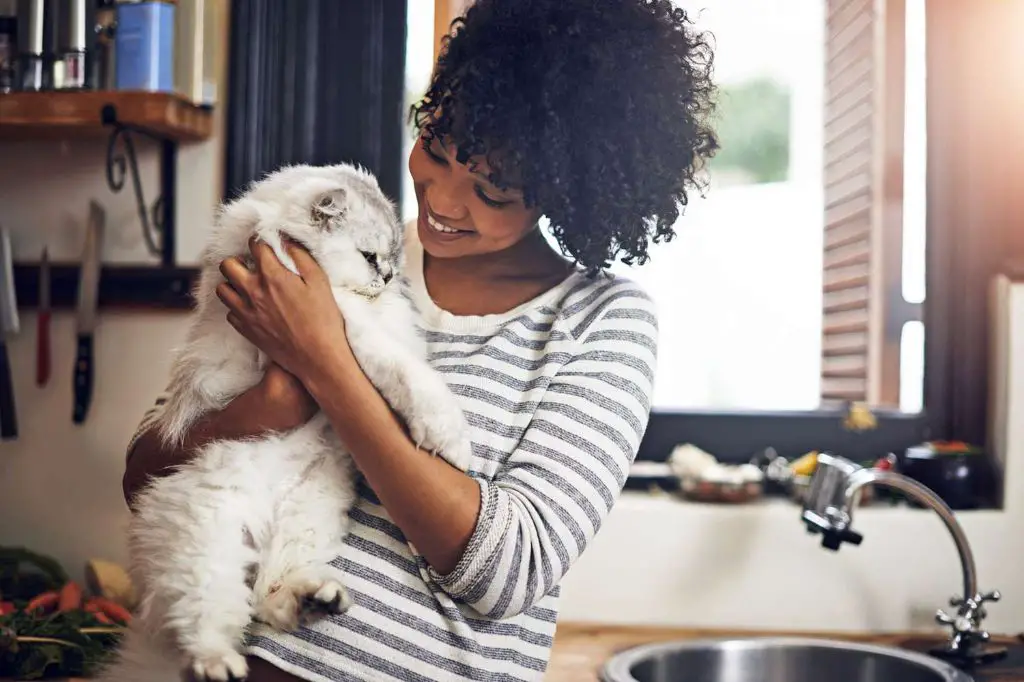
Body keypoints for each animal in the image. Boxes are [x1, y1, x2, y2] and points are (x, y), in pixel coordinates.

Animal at [97, 163, 473, 679]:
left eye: (394, 260)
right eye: (370, 256)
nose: (388, 277)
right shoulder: (343, 326)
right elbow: (408, 375)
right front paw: (449, 437)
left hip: (310, 514)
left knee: (267, 595)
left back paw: (315, 600)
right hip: (208, 538)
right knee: (205, 619)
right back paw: (218, 663)